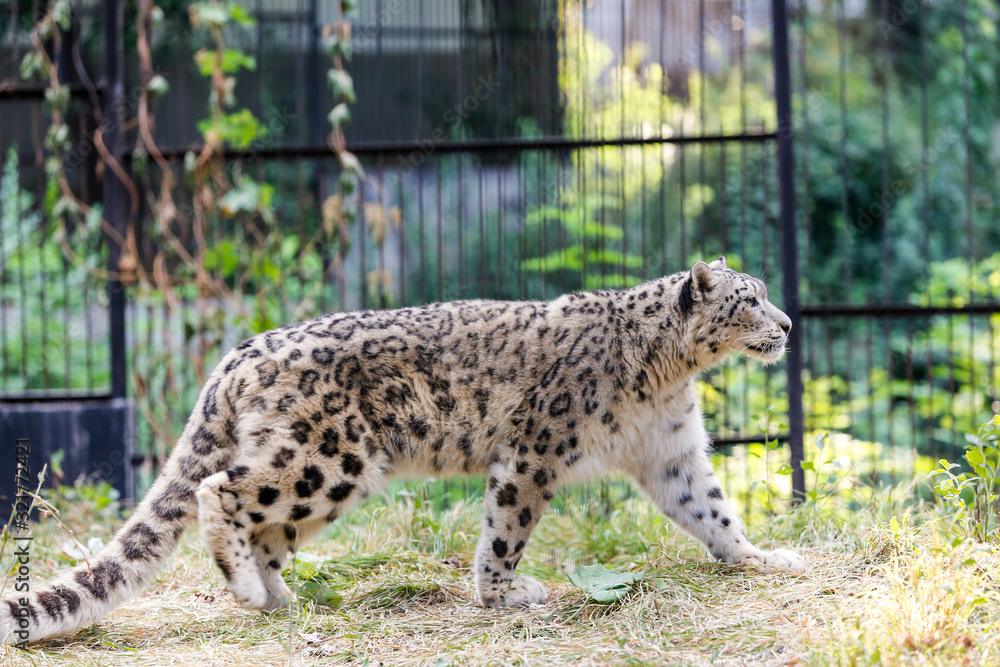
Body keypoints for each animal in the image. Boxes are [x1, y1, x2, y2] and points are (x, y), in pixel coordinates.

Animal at [1, 256, 806, 645]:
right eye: (749, 301)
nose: (790, 323)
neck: (667, 377)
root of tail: (238, 354)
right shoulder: (534, 450)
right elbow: (507, 526)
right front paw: (503, 593)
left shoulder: (672, 453)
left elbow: (711, 510)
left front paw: (764, 557)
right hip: (326, 459)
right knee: (220, 490)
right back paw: (247, 589)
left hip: (328, 480)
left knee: (266, 528)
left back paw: (277, 598)